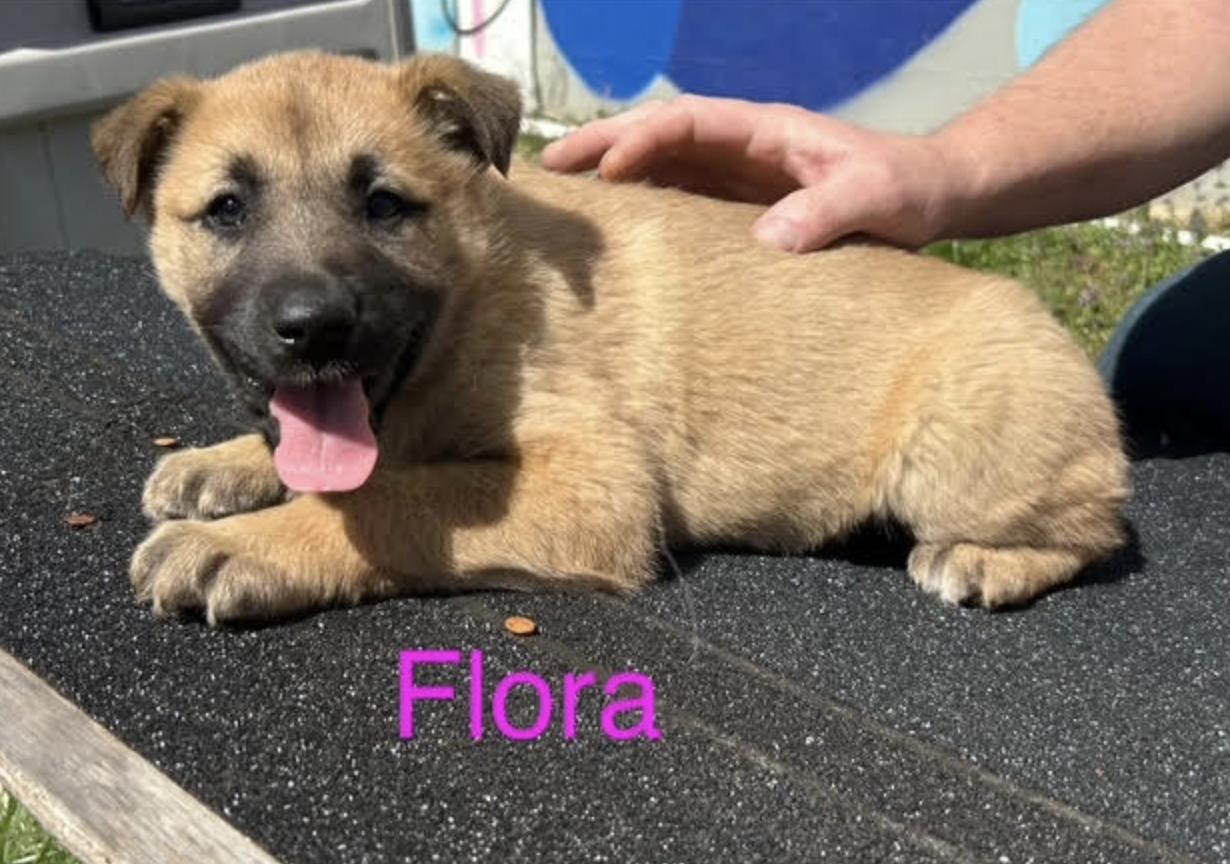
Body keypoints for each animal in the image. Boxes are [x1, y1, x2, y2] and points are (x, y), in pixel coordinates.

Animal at [91, 52, 1129, 625]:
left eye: (384, 205)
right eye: (227, 211)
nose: (313, 329)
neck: (476, 298)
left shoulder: (593, 483)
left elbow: (390, 498)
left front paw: (242, 545)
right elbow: (339, 463)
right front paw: (223, 464)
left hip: (959, 458)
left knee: (1095, 529)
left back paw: (986, 560)